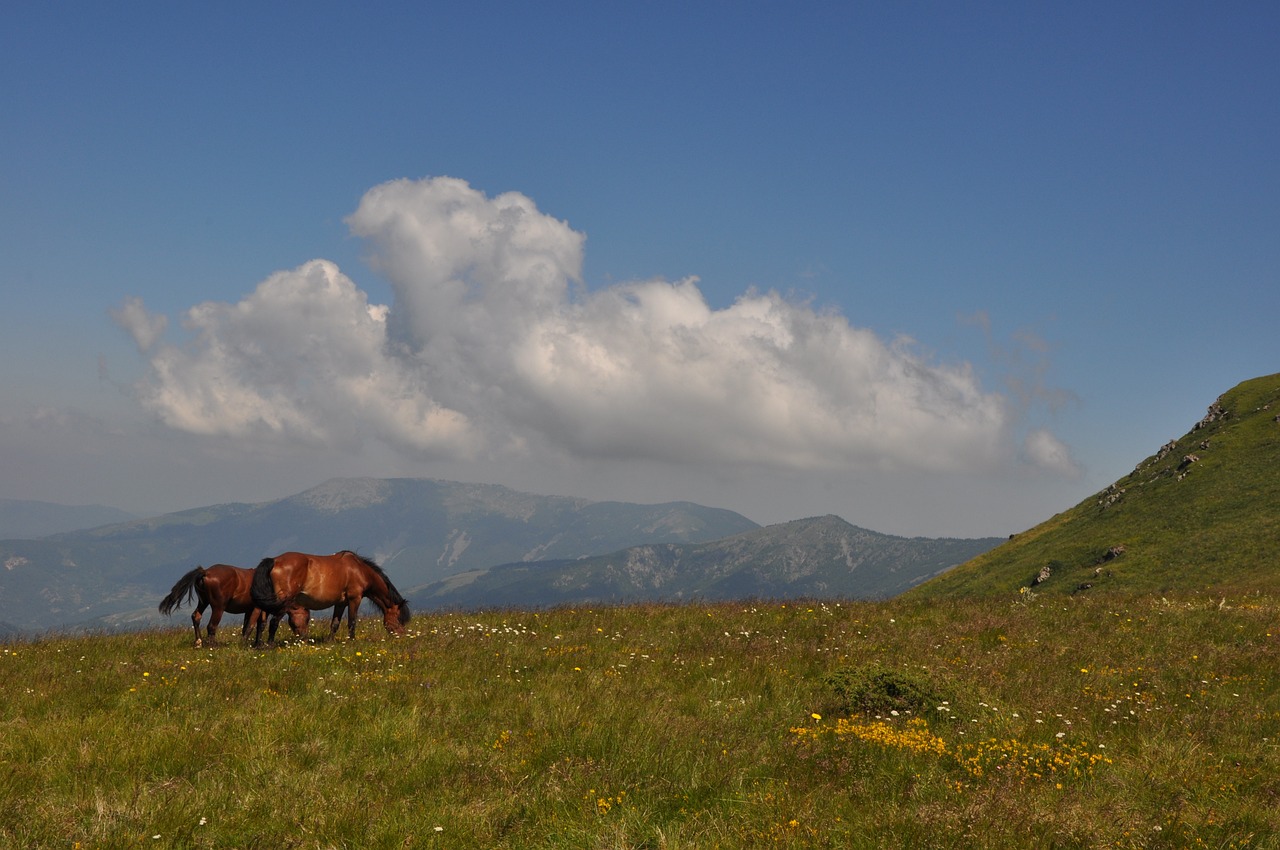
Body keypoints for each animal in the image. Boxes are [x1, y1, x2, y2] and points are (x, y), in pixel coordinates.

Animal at [249, 550, 409, 645]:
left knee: (262, 622)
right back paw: (270, 645)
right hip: (283, 601)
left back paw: (259, 645)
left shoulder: (341, 603)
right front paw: (352, 642)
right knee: (273, 622)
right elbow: (352, 622)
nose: (402, 637)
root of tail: (274, 561)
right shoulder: (354, 599)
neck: (359, 570)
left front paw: (330, 641)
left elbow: (335, 624)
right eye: (398, 619)